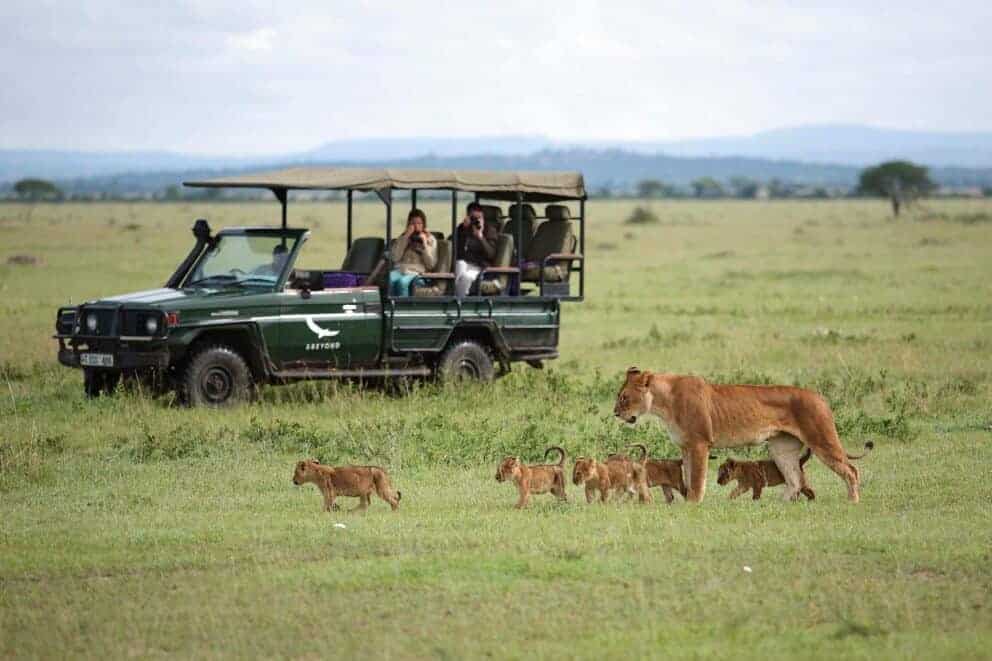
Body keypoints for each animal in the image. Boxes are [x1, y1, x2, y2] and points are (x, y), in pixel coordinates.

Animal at [614, 367, 873, 503]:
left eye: (624, 397)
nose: (615, 413)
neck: (663, 403)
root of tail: (820, 397)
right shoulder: (686, 447)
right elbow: (687, 477)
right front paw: (687, 501)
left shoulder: (699, 444)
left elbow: (697, 479)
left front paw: (693, 504)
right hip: (782, 448)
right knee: (794, 479)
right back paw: (778, 506)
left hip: (821, 439)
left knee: (850, 470)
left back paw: (852, 501)